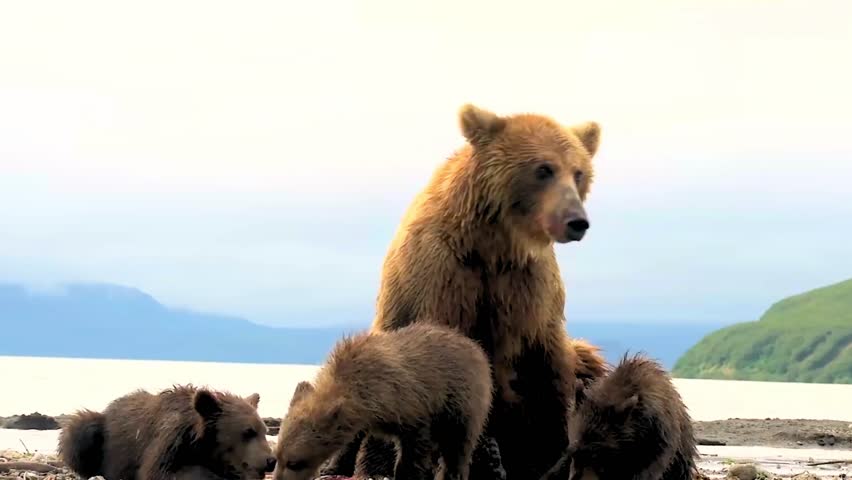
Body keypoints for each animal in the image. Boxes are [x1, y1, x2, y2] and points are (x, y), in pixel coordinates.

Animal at [58, 384, 276, 480]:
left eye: (264, 431)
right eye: (248, 432)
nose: (270, 460)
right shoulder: (170, 439)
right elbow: (160, 471)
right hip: (101, 434)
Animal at [271, 323, 493, 480]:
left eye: (295, 463)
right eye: (277, 457)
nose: (278, 478)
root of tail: (476, 347)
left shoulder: (412, 403)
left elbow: (415, 445)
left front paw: (406, 473)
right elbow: (351, 441)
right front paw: (333, 467)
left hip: (465, 400)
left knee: (460, 443)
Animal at [352, 103, 602, 480]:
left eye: (579, 173)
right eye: (543, 169)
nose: (577, 221)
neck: (494, 244)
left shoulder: (527, 289)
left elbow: (546, 370)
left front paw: (550, 455)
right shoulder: (442, 276)